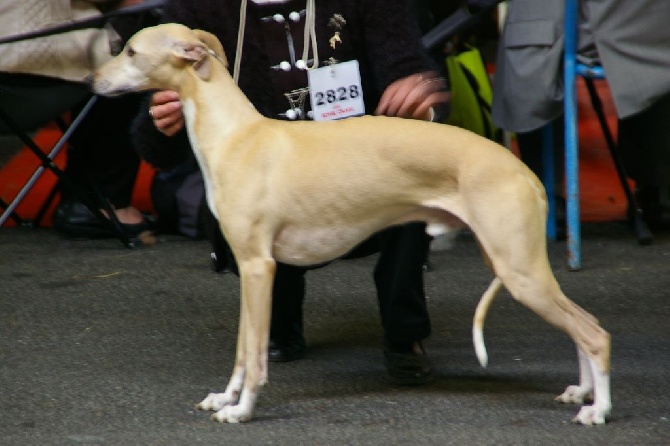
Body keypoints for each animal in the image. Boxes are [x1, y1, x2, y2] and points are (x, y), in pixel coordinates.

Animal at [90, 23, 616, 426]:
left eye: (130, 50)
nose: (93, 80)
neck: (237, 135)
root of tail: (527, 173)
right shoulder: (248, 270)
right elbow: (243, 348)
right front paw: (226, 397)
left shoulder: (259, 267)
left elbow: (255, 354)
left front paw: (242, 410)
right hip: (514, 264)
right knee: (585, 324)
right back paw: (582, 393)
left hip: (519, 271)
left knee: (595, 334)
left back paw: (598, 410)